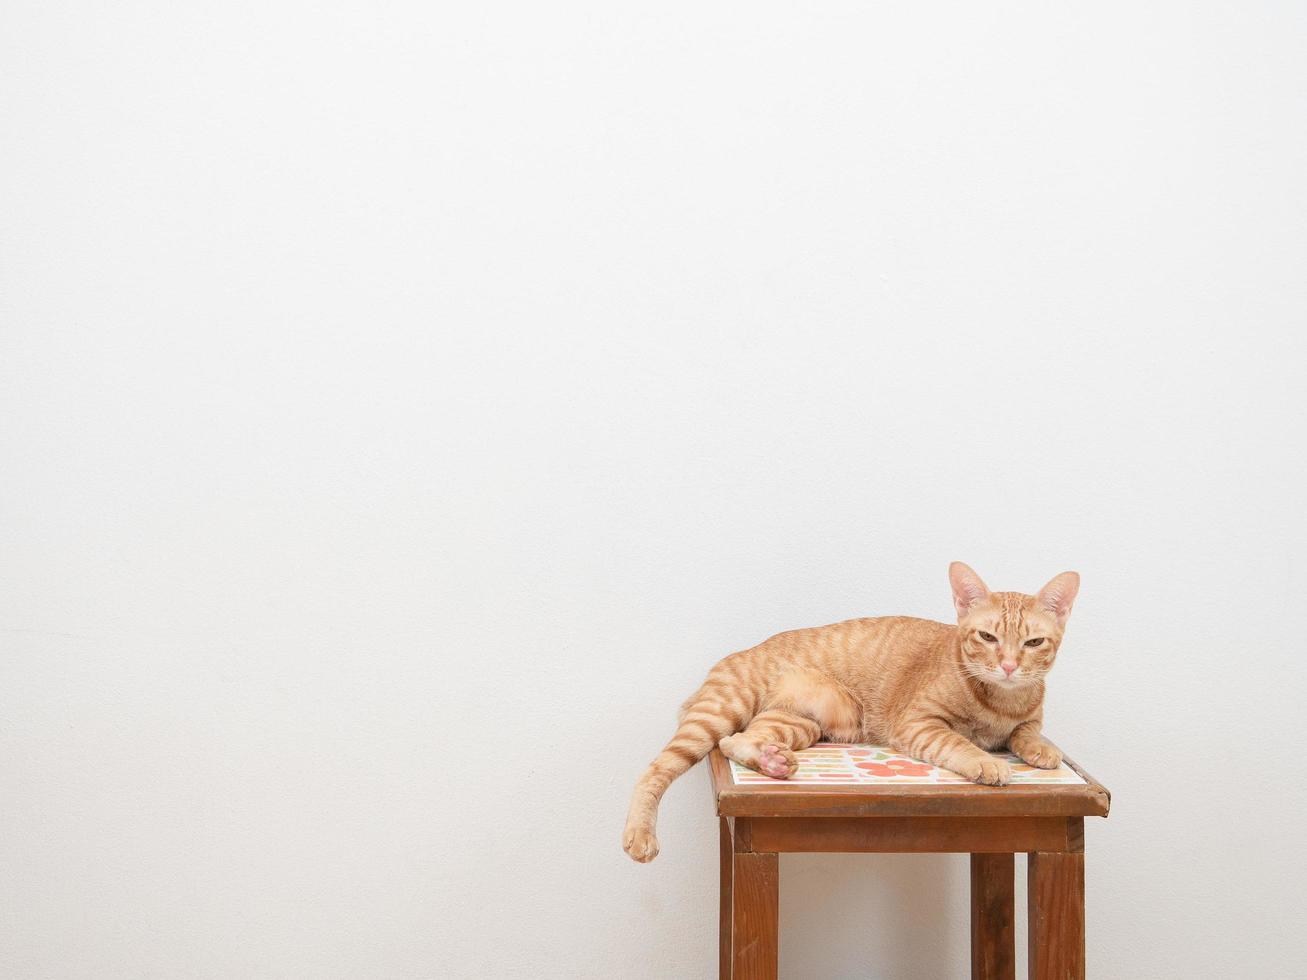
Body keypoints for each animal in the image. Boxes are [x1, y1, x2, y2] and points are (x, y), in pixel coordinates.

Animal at [624, 564, 1082, 862]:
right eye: (987, 637)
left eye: (1034, 643)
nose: (1008, 666)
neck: (1002, 702)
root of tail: (738, 653)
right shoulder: (918, 724)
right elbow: (960, 742)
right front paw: (986, 762)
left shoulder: (1025, 718)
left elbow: (1027, 732)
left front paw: (1040, 749)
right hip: (722, 709)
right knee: (659, 767)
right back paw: (639, 834)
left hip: (798, 723)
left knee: (735, 741)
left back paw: (773, 763)